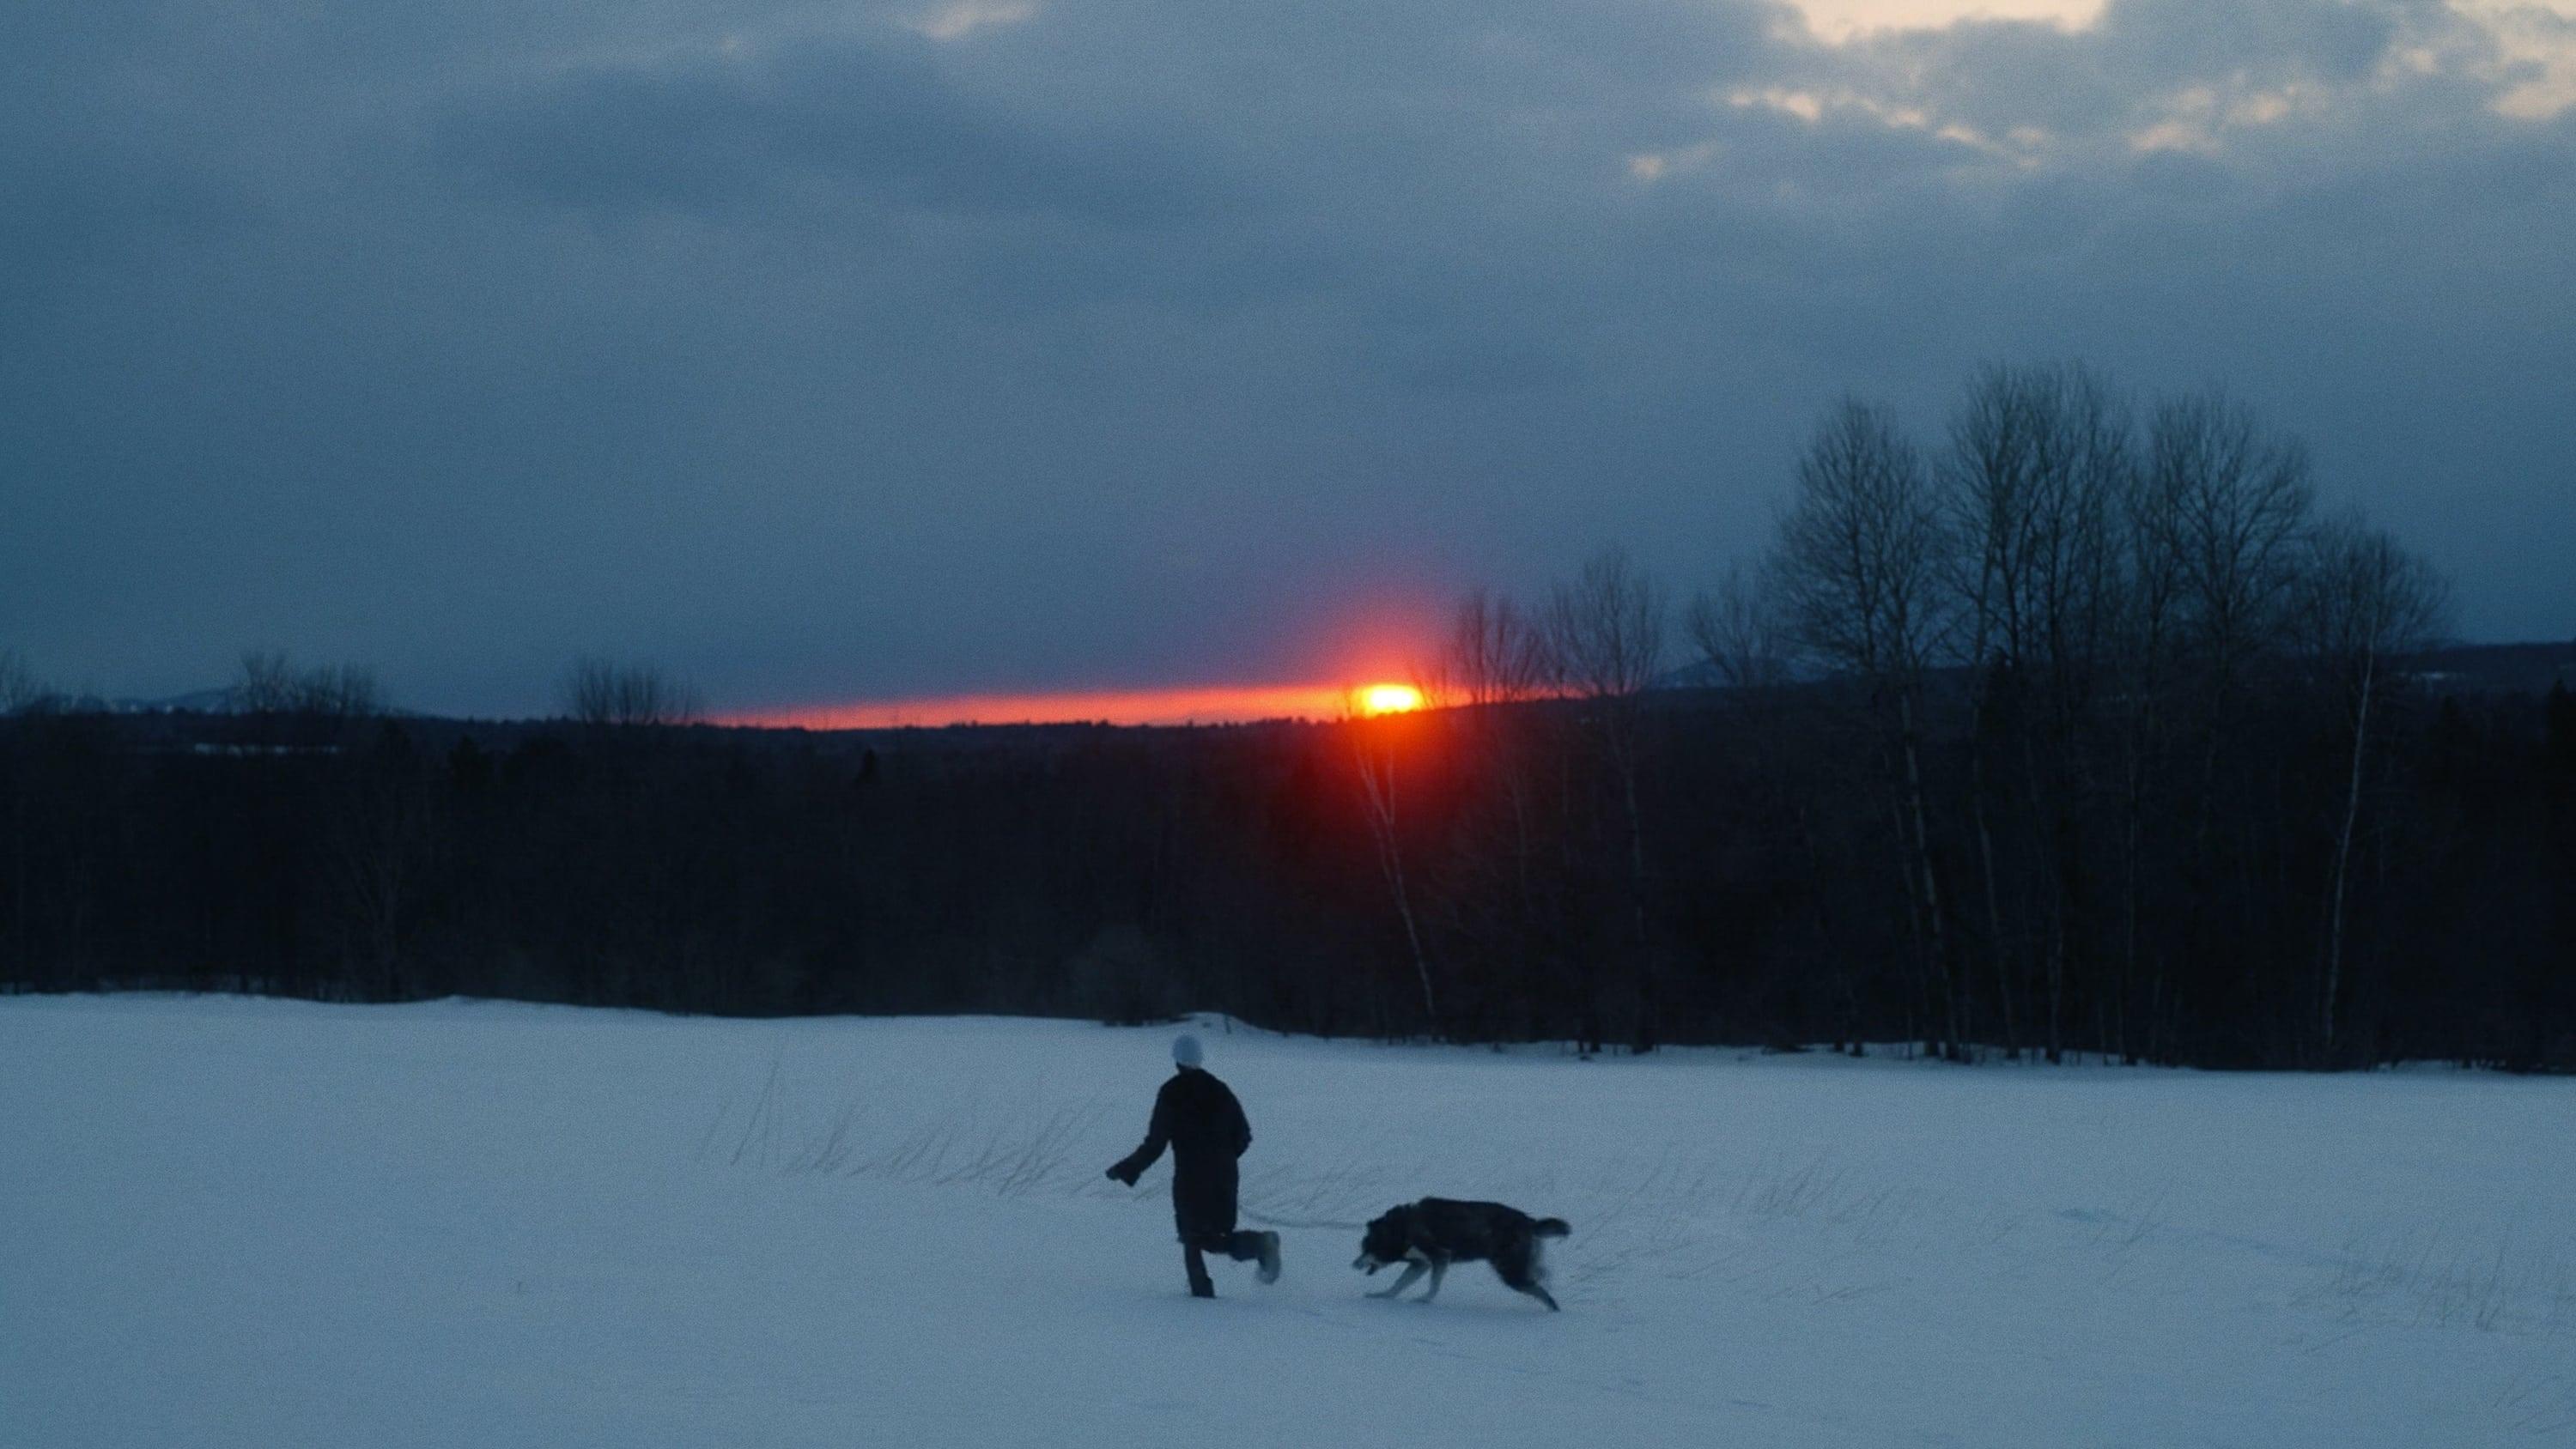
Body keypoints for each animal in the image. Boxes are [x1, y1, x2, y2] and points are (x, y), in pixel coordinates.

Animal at [1350, 1194, 1566, 1307]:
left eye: (1366, 1249)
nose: (1353, 1264)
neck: (1401, 1229)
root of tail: (1529, 1222)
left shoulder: (1439, 1257)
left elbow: (1433, 1286)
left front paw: (1424, 1300)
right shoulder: (1420, 1264)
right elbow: (1399, 1285)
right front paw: (1383, 1295)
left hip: (1509, 1271)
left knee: (1541, 1291)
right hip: (1519, 1265)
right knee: (1541, 1275)